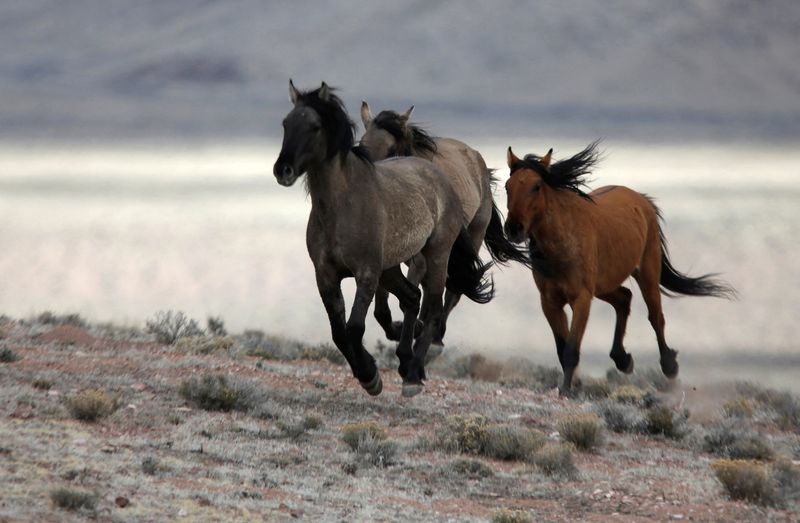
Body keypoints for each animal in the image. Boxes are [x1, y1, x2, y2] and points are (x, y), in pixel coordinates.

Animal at [274, 80, 494, 396]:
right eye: (286, 123)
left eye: (315, 127)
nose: (283, 170)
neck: (342, 206)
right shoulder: (326, 275)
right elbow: (340, 332)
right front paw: (368, 371)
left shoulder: (367, 273)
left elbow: (354, 328)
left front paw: (371, 376)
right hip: (391, 268)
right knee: (413, 298)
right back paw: (406, 358)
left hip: (437, 256)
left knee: (435, 307)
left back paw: (414, 372)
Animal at [360, 104, 528, 346]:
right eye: (361, 145)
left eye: (392, 149)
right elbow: (384, 304)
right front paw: (401, 328)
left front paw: (413, 329)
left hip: (470, 238)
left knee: (452, 290)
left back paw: (435, 337)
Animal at [504, 142, 736, 392]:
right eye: (507, 187)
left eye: (536, 187)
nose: (513, 229)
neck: (563, 243)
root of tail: (641, 199)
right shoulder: (550, 302)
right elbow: (561, 348)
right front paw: (572, 385)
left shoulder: (581, 299)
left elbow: (571, 350)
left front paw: (567, 391)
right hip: (605, 284)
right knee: (624, 298)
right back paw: (623, 359)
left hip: (647, 272)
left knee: (655, 316)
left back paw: (669, 366)